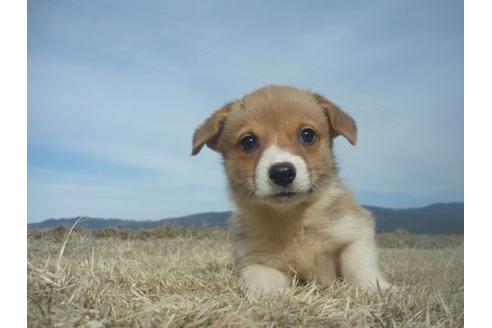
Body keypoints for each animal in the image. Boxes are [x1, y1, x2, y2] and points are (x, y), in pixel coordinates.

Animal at [191, 86, 388, 294]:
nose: (282, 173)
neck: (291, 218)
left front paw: (375, 288)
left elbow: (358, 264)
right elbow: (266, 282)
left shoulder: (355, 229)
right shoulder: (254, 260)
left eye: (307, 134)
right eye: (248, 142)